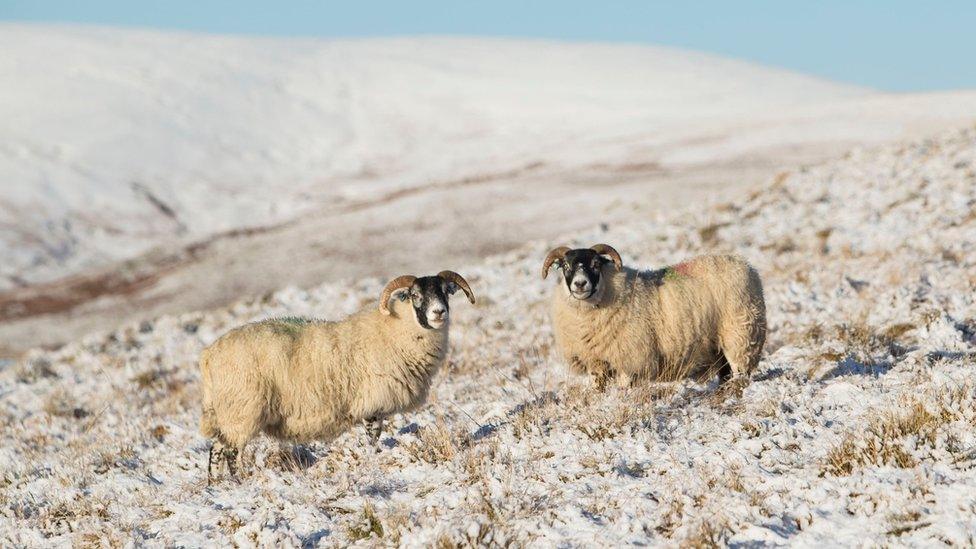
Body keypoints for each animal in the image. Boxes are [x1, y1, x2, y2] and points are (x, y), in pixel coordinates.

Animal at [198, 271, 475, 481]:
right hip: (241, 410)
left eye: (445, 292)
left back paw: (216, 485)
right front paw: (373, 460)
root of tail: (209, 354)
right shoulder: (372, 405)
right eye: (416, 295)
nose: (439, 312)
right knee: (229, 452)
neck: (394, 329)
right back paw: (237, 482)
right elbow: (372, 439)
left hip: (230, 413)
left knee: (217, 449)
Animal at [542, 244, 766, 390]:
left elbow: (624, 388)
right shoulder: (596, 361)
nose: (580, 284)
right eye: (566, 266)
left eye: (596, 264)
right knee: (725, 372)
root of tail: (743, 263)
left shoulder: (630, 358)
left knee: (740, 368)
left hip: (740, 333)